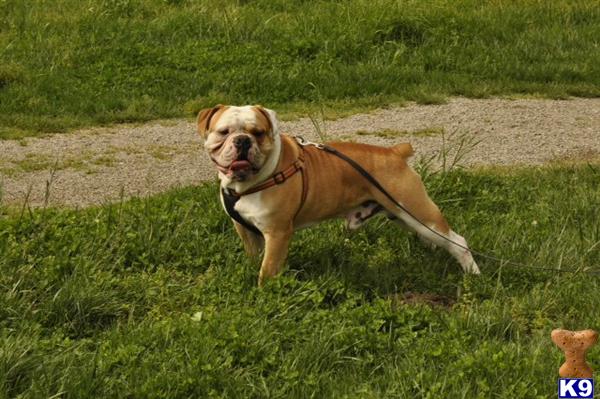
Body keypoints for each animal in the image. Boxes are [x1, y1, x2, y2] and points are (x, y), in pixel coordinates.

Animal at [199, 104, 480, 286]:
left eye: (258, 133)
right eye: (223, 132)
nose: (243, 141)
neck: (248, 183)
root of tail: (395, 152)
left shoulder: (277, 234)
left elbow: (267, 271)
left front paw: (264, 294)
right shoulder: (245, 229)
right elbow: (253, 256)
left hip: (418, 211)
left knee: (459, 241)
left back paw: (473, 274)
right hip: (404, 215)